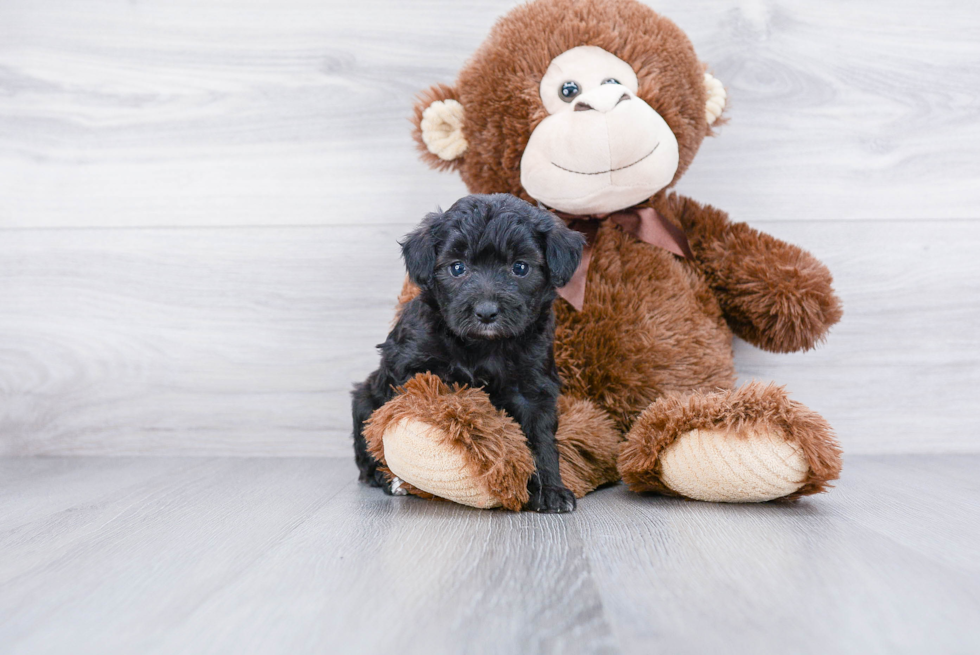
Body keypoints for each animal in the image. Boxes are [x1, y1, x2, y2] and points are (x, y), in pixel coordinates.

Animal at [350, 192, 580, 516]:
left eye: (520, 268)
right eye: (457, 268)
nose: (486, 312)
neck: (483, 345)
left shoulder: (533, 386)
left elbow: (540, 437)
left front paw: (550, 489)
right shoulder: (414, 366)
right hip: (364, 399)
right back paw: (390, 480)